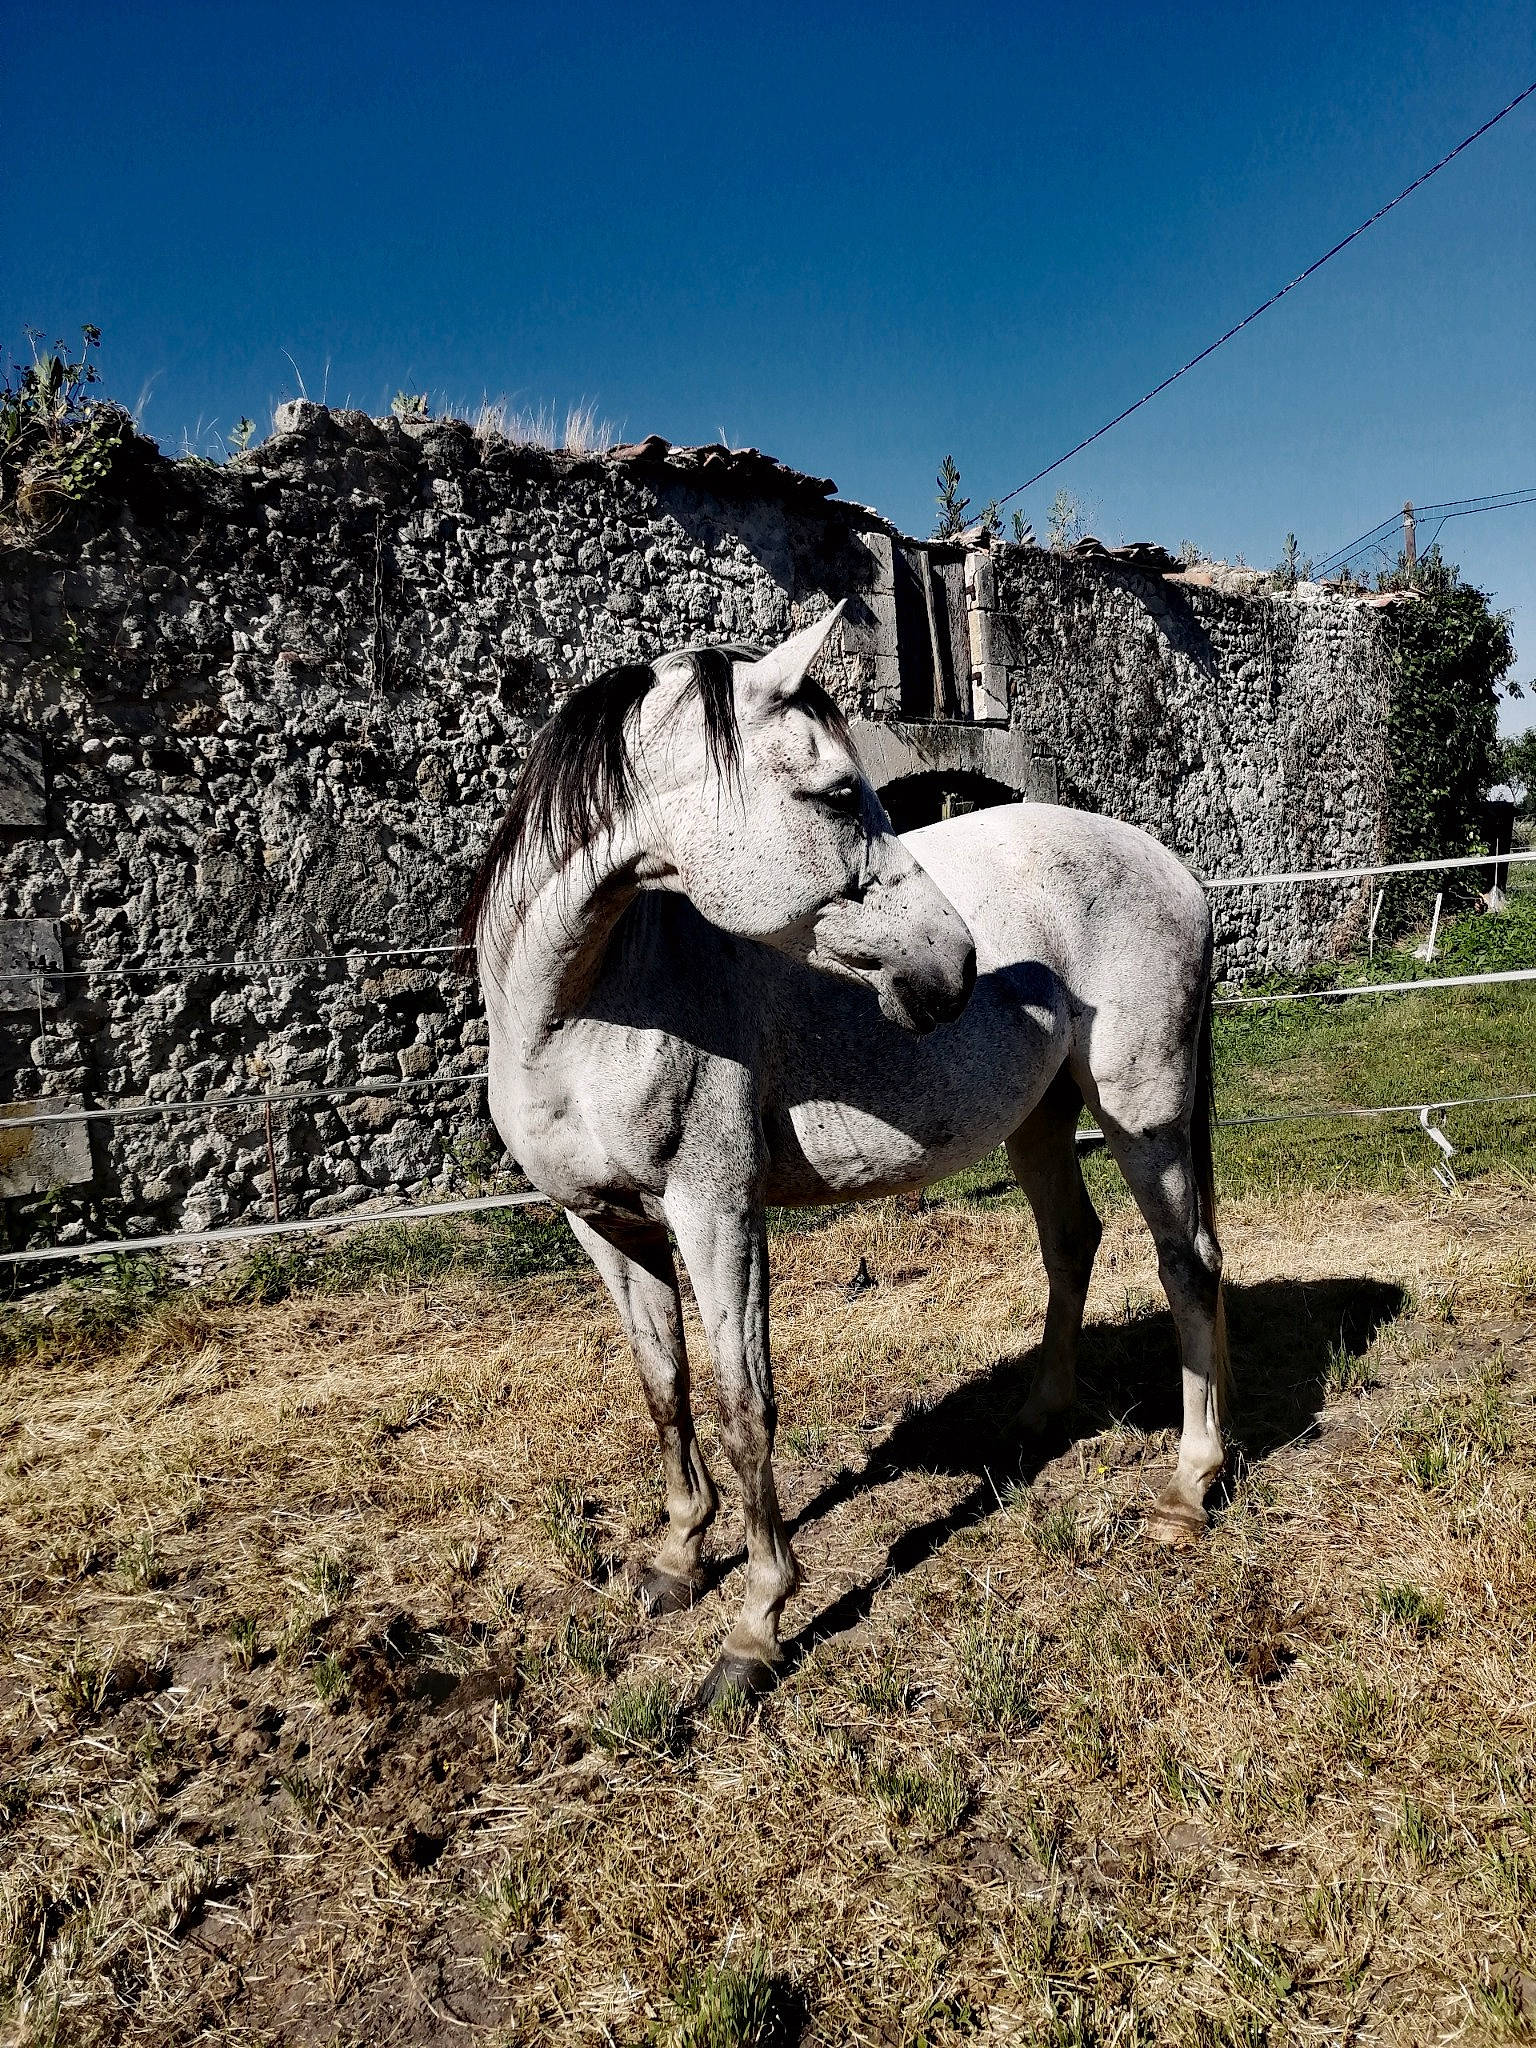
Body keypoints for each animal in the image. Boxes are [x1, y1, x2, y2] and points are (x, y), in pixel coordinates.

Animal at [464, 605, 1227, 1703]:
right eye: (833, 793)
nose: (956, 966)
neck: (586, 1006)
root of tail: (1173, 867)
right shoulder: (605, 1227)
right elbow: (665, 1388)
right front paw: (676, 1560)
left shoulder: (716, 1214)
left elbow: (745, 1405)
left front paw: (754, 1627)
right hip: (1040, 1119)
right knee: (1073, 1243)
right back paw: (1038, 1418)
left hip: (1143, 1112)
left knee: (1185, 1263)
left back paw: (1189, 1486)